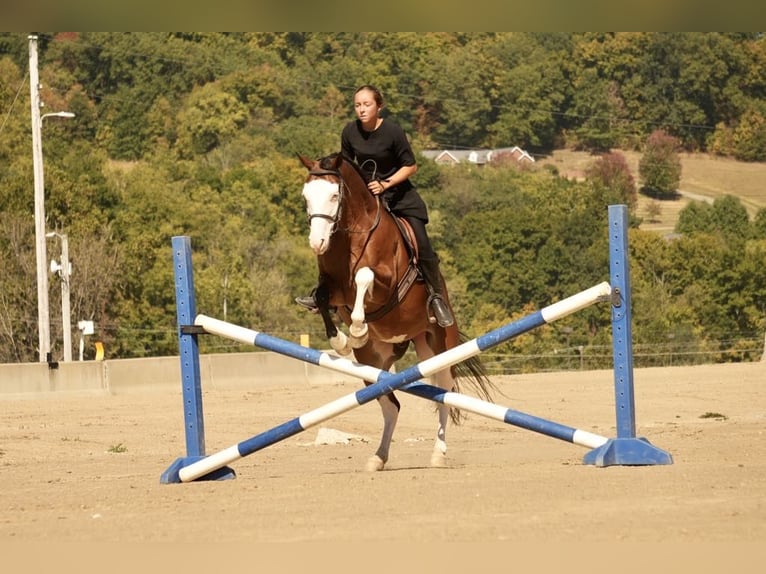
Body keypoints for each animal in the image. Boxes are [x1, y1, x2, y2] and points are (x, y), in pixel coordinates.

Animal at [296, 152, 496, 472]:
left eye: (334, 195)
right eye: (306, 196)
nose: (318, 243)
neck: (351, 235)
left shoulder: (386, 280)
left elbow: (364, 276)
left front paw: (357, 328)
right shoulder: (333, 288)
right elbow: (322, 297)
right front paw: (341, 341)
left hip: (439, 346)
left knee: (444, 394)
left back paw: (438, 454)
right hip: (373, 363)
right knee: (391, 405)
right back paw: (378, 457)